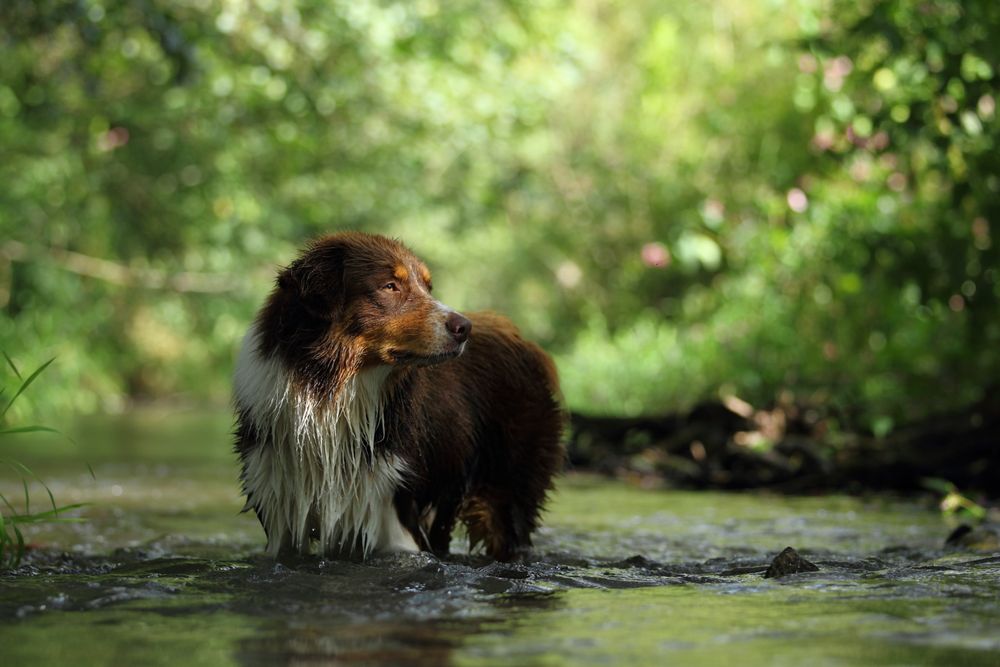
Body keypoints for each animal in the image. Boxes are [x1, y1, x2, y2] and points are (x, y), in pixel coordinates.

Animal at [232, 232, 564, 560]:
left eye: (428, 286)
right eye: (390, 286)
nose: (464, 328)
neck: (331, 390)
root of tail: (526, 342)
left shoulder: (393, 507)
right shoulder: (280, 507)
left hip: (507, 490)